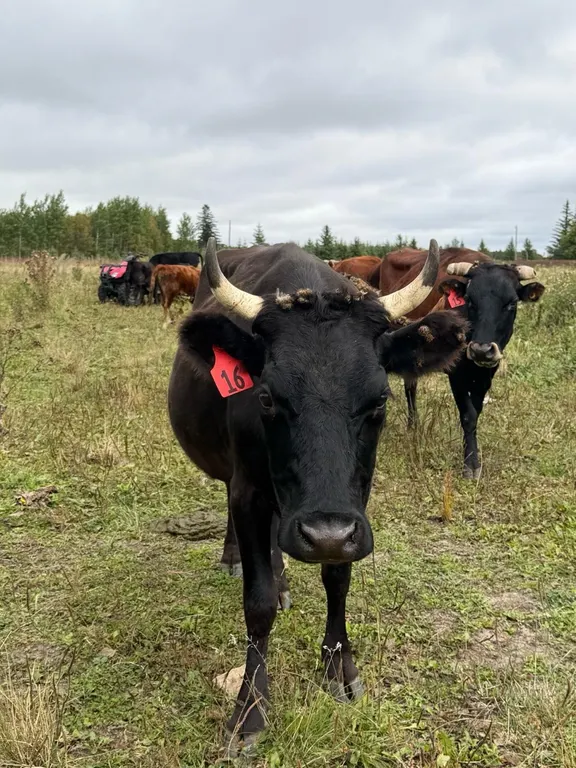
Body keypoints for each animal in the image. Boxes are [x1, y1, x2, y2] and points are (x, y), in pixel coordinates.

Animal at [167, 237, 468, 754]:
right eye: (266, 397)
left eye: (380, 399)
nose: (323, 534)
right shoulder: (249, 491)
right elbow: (258, 602)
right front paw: (249, 711)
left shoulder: (354, 508)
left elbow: (338, 579)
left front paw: (339, 668)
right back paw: (234, 557)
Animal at [375, 247, 545, 478]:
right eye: (469, 300)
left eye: (511, 303)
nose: (481, 350)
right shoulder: (456, 373)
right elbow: (468, 414)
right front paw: (471, 464)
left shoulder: (486, 374)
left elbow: (476, 411)